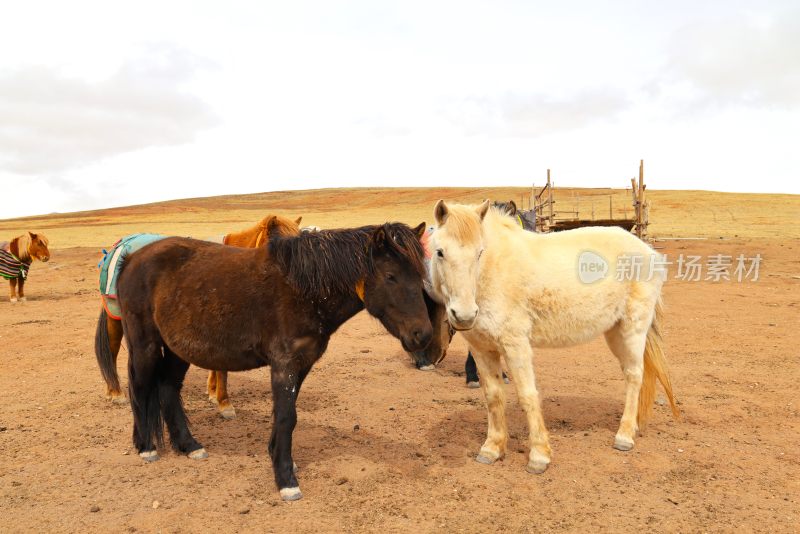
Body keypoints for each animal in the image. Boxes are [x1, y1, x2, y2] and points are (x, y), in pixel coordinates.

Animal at [106, 222, 434, 502]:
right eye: (391, 276)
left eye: (420, 276)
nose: (422, 335)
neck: (304, 291)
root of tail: (132, 257)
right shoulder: (284, 365)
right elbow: (287, 417)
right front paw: (286, 480)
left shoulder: (302, 364)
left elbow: (285, 416)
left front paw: (280, 460)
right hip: (145, 346)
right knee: (140, 387)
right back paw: (147, 447)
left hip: (178, 349)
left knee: (168, 388)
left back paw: (189, 446)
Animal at [428, 202, 680, 478]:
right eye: (440, 252)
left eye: (479, 253)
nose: (464, 315)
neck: (494, 272)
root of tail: (648, 252)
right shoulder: (482, 349)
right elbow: (493, 396)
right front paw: (492, 449)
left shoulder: (516, 346)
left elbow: (528, 395)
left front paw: (539, 456)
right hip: (615, 333)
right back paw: (634, 425)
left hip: (633, 329)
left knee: (635, 376)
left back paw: (624, 436)